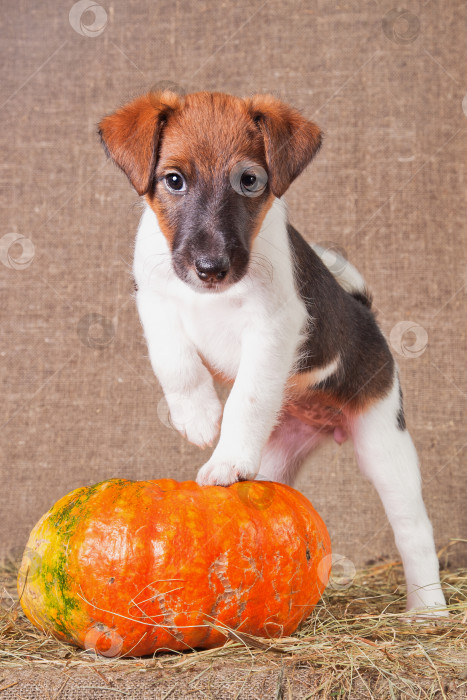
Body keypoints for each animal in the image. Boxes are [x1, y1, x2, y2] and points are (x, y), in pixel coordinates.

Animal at [99, 89, 450, 612]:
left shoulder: (273, 328)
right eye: (174, 180)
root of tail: (365, 312)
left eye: (249, 181)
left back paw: (426, 611)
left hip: (385, 446)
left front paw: (223, 456)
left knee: (414, 531)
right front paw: (198, 416)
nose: (211, 268)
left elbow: (247, 397)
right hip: (276, 457)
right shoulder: (154, 299)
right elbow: (175, 361)